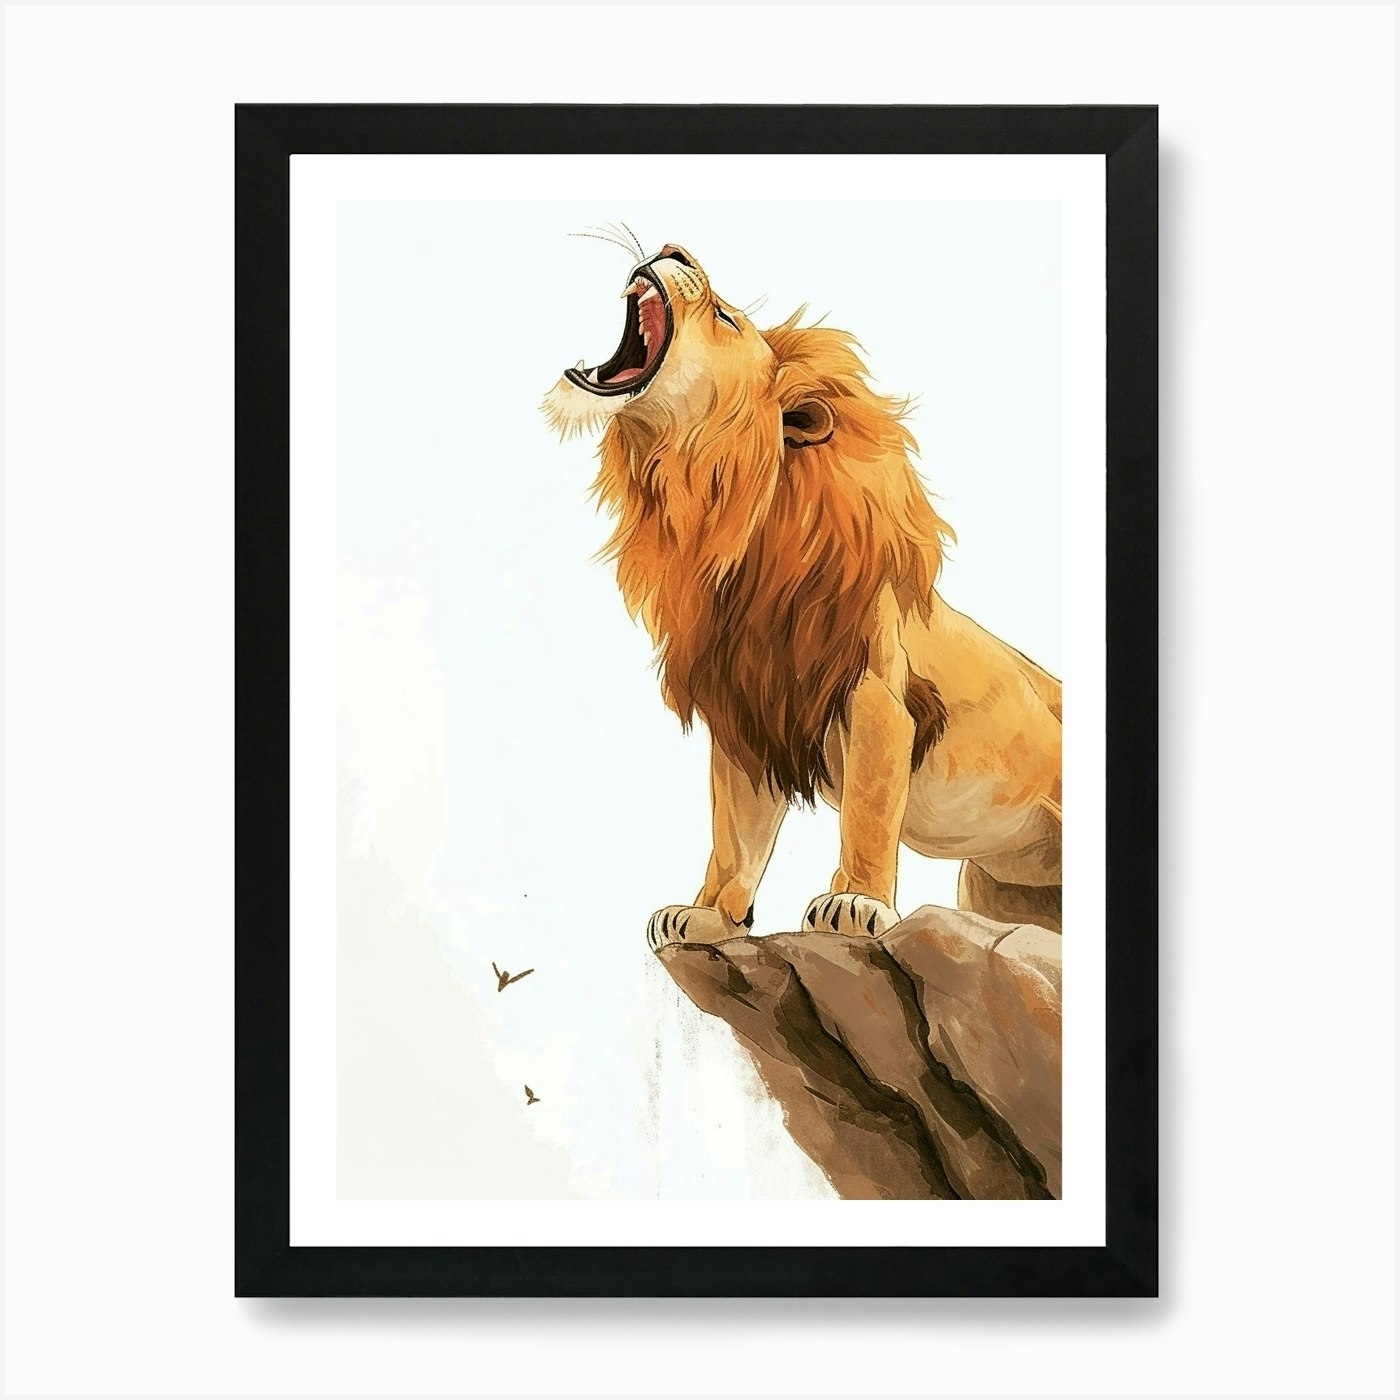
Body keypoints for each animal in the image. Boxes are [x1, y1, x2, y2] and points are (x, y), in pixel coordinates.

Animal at [543, 243, 1062, 946]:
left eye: (726, 318)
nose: (675, 250)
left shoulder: (875, 694)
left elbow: (868, 810)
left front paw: (858, 902)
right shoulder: (745, 707)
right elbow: (735, 833)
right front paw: (710, 915)